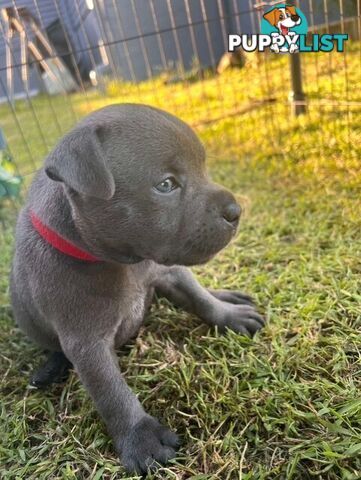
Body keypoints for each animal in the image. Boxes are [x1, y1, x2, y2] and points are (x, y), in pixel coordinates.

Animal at [10, 103, 264, 474]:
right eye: (166, 185)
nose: (235, 210)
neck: (124, 263)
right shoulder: (86, 341)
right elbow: (111, 392)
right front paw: (140, 438)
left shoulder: (168, 272)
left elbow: (200, 298)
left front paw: (228, 315)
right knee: (56, 353)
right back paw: (48, 370)